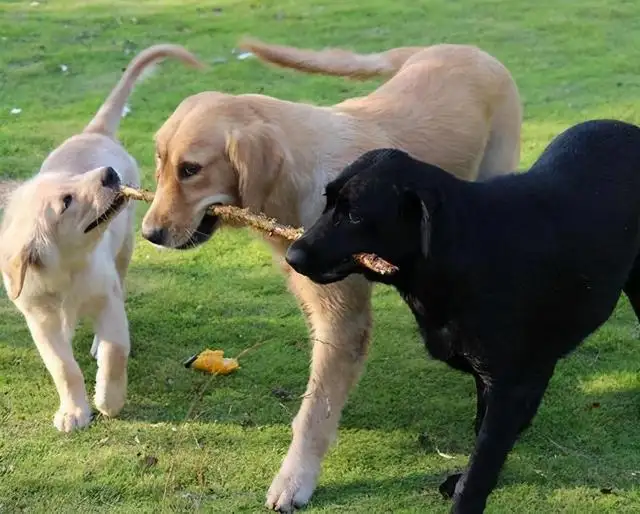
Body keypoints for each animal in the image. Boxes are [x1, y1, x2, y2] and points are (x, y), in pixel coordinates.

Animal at [286, 119, 640, 508]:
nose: (292, 256)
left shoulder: (507, 384)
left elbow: (484, 457)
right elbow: (483, 434)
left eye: (354, 216)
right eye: (327, 203)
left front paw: (466, 493)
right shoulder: (493, 378)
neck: (462, 252)